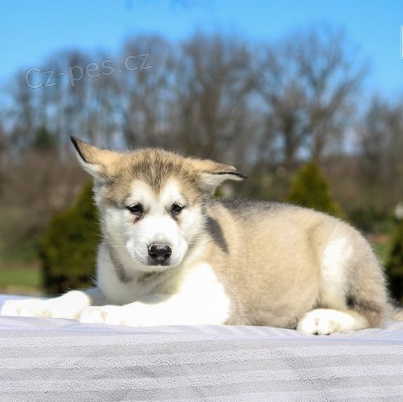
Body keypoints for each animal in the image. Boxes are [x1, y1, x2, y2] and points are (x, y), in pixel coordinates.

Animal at [2, 137, 400, 334]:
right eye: (135, 208)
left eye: (178, 208)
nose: (160, 251)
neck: (141, 277)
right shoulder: (111, 287)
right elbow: (73, 296)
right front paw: (28, 306)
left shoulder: (214, 300)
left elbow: (151, 304)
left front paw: (107, 315)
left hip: (337, 256)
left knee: (374, 315)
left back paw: (321, 320)